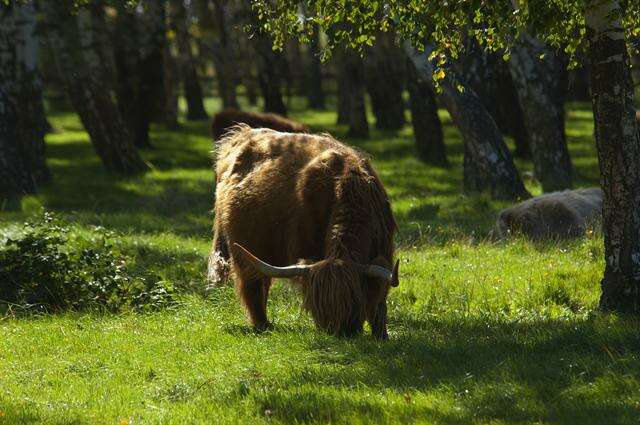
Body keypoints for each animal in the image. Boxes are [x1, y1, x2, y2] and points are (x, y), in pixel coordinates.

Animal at [209, 125, 400, 338]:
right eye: (318, 309)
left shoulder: (383, 254)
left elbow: (379, 301)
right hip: (244, 249)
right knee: (253, 285)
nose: (340, 333)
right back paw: (263, 325)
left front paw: (381, 335)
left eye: (354, 303)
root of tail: (241, 133)